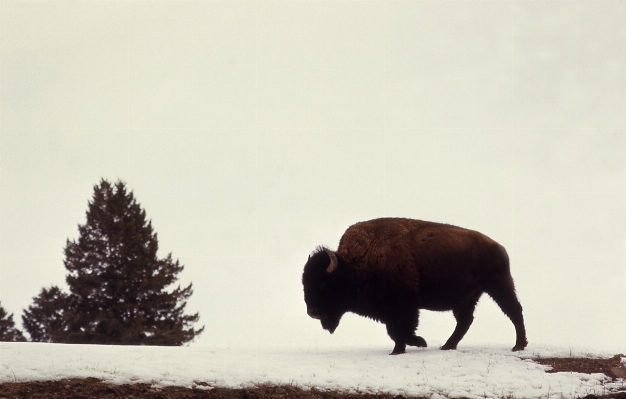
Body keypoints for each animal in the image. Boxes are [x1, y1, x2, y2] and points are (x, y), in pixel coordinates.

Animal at [300, 219, 524, 356]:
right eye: (304, 283)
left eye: (323, 283)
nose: (312, 312)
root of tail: (498, 247)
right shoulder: (391, 310)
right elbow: (395, 331)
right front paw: (401, 348)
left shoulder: (403, 305)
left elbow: (401, 329)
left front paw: (417, 343)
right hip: (467, 299)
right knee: (465, 321)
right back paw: (447, 346)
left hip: (498, 285)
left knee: (514, 310)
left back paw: (519, 345)